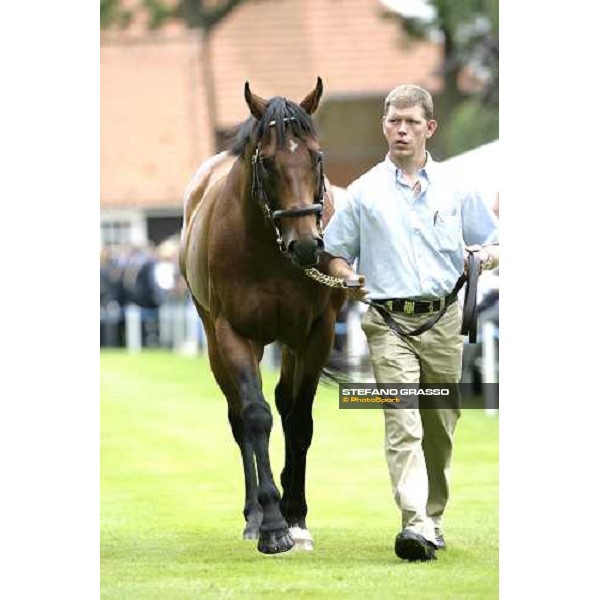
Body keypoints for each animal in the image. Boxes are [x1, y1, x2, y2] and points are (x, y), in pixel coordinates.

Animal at [178, 78, 344, 552]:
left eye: (316, 155)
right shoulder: (233, 333)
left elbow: (299, 419)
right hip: (217, 342)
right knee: (239, 418)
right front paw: (271, 525)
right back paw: (255, 514)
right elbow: (255, 416)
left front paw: (296, 516)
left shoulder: (316, 333)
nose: (305, 245)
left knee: (287, 405)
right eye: (267, 163)